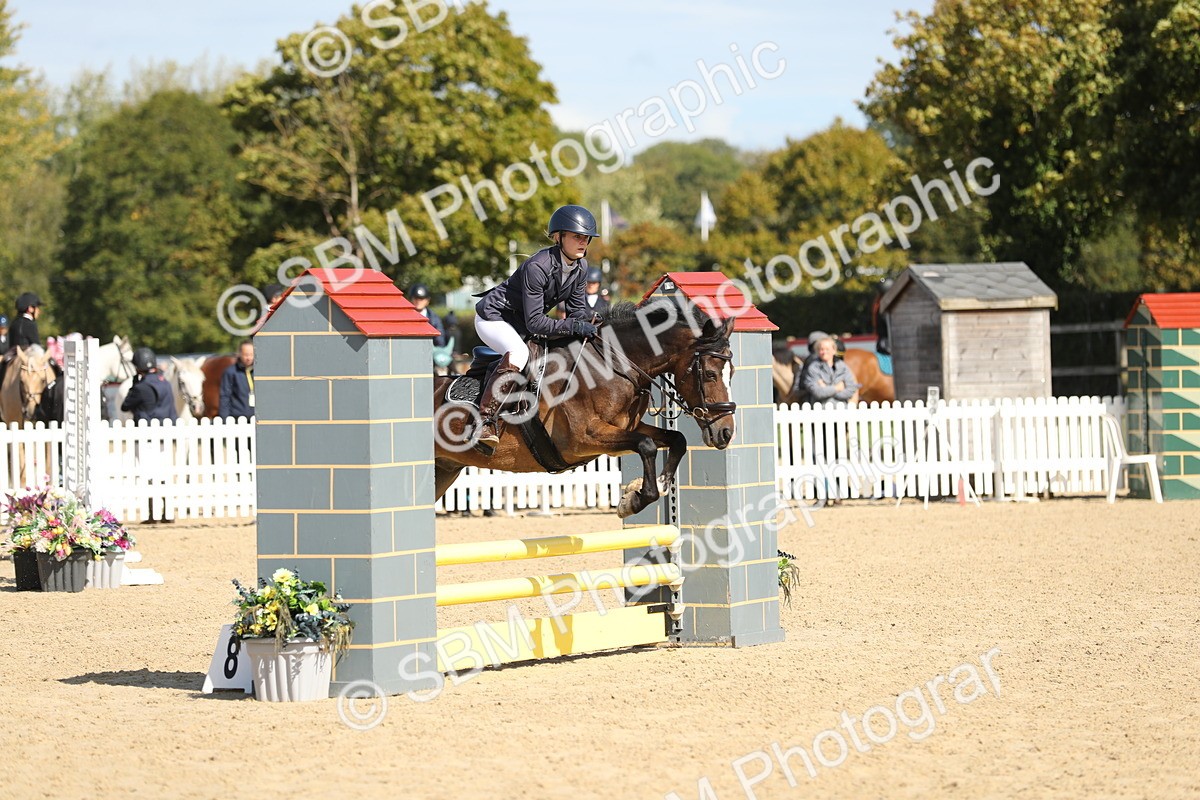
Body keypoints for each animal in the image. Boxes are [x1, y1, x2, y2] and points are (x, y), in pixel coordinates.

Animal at [432, 299, 738, 519]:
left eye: (731, 372)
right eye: (710, 374)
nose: (726, 432)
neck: (615, 365)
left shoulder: (626, 428)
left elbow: (676, 439)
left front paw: (654, 487)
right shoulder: (583, 438)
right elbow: (647, 445)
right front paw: (632, 500)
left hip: (445, 469)